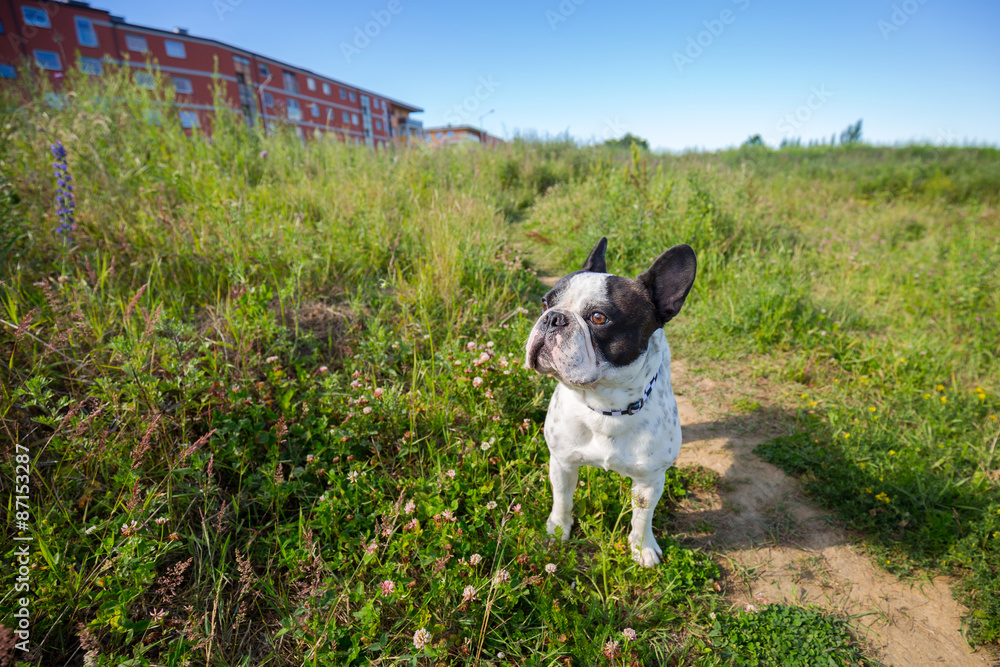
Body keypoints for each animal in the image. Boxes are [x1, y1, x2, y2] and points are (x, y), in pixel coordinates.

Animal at [524, 237, 696, 568]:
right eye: (544, 303)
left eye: (598, 318)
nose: (553, 318)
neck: (605, 405)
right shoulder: (562, 462)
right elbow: (562, 500)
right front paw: (558, 532)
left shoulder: (650, 480)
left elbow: (642, 516)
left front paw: (642, 548)